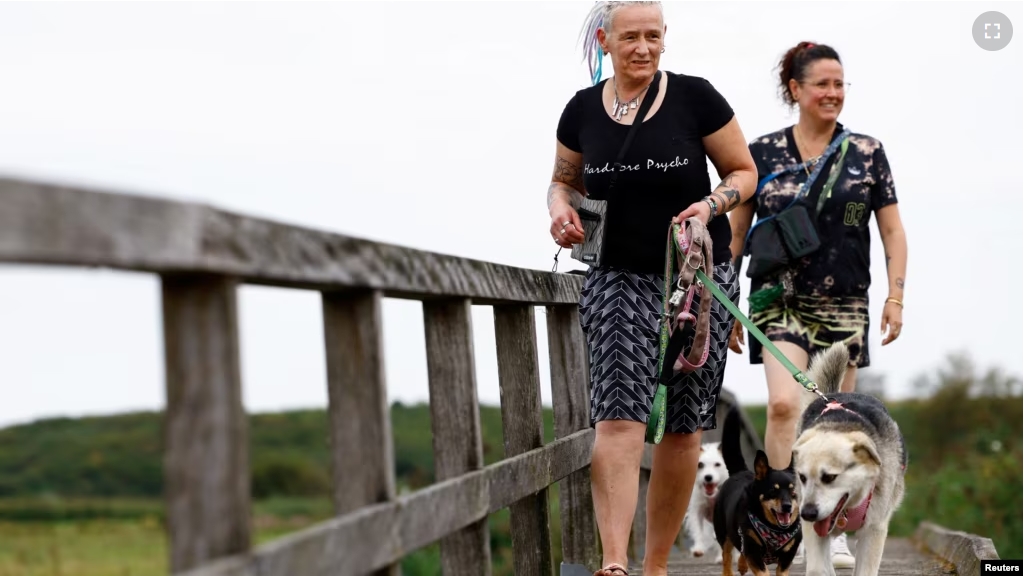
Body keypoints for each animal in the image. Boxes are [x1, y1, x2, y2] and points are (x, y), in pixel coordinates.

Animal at [712, 405, 798, 569]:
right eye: (773, 490)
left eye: (793, 491)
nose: (787, 506)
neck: (775, 530)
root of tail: (740, 471)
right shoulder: (752, 549)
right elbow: (762, 569)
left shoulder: (788, 555)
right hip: (724, 535)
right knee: (727, 558)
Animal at [786, 342, 909, 569]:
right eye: (802, 477)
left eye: (830, 477)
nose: (807, 514)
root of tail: (833, 395)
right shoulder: (814, 529)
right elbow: (819, 568)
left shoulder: (873, 530)